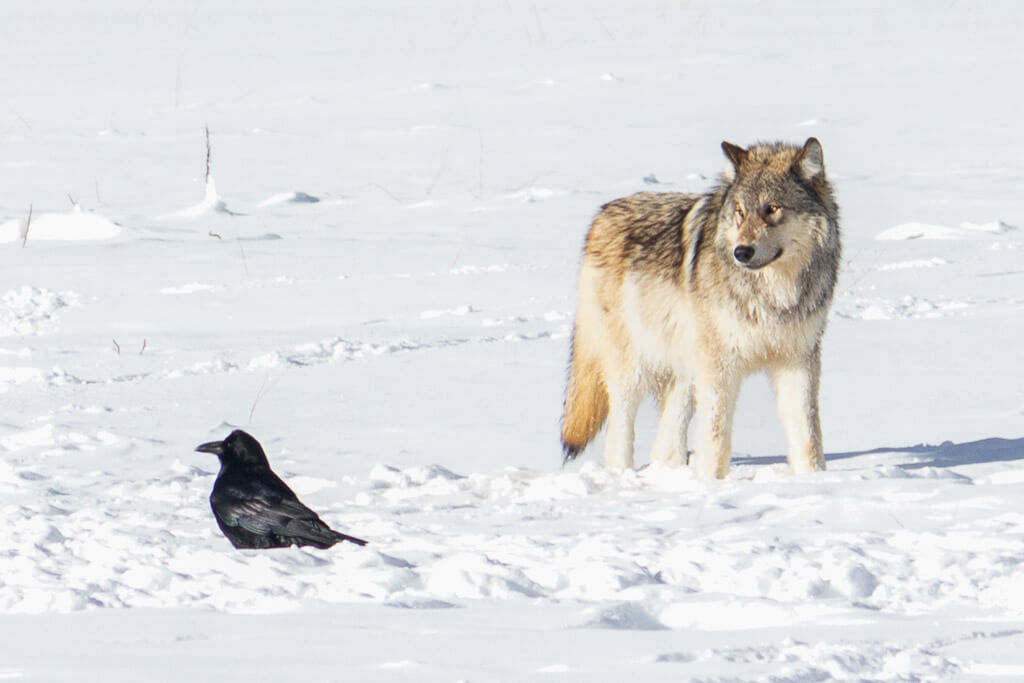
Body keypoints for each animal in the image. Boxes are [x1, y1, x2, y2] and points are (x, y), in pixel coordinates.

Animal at [561, 138, 840, 479]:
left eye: (772, 209)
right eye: (740, 212)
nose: (741, 252)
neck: (773, 296)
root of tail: (602, 215)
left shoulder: (798, 361)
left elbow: (808, 434)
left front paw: (813, 479)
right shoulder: (720, 366)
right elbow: (716, 435)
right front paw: (711, 484)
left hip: (685, 372)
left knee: (665, 444)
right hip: (635, 367)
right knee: (618, 431)